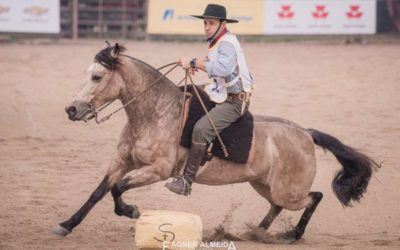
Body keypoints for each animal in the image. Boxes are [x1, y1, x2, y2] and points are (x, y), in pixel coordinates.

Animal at [54, 43, 380, 242]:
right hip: (265, 185)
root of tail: (305, 133)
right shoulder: (122, 162)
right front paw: (67, 224)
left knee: (314, 198)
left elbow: (118, 190)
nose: (71, 109)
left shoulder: (158, 171)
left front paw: (131, 211)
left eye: (97, 77)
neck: (156, 113)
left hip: (290, 191)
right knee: (277, 207)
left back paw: (291, 235)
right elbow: (99, 192)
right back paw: (256, 233)